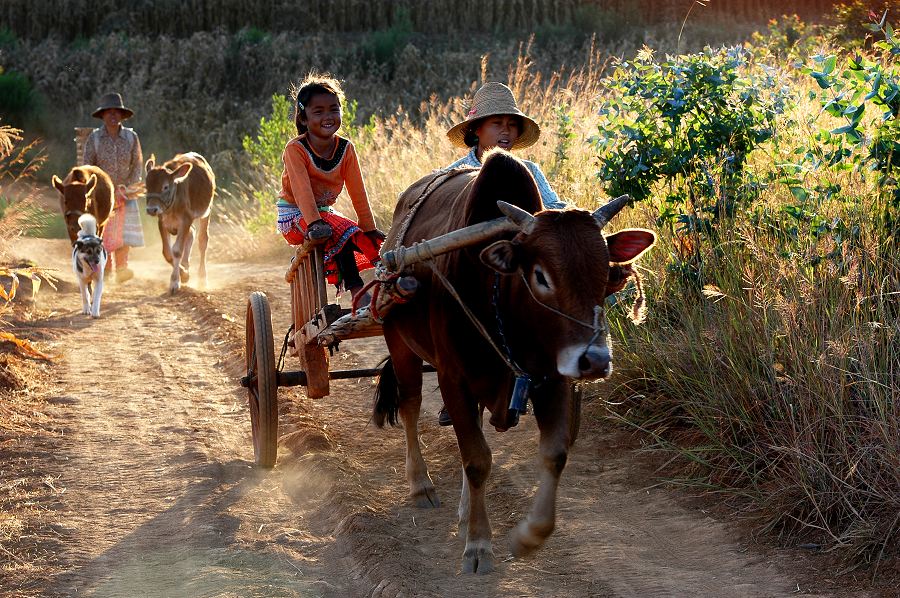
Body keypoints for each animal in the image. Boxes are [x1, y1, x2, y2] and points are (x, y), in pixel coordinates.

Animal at [144, 152, 216, 296]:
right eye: (146, 186)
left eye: (165, 187)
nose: (151, 209)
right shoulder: (162, 222)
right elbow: (167, 252)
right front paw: (183, 273)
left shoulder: (186, 219)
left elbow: (177, 251)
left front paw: (174, 282)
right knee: (191, 233)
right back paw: (185, 265)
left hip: (207, 211)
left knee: (202, 240)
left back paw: (202, 278)